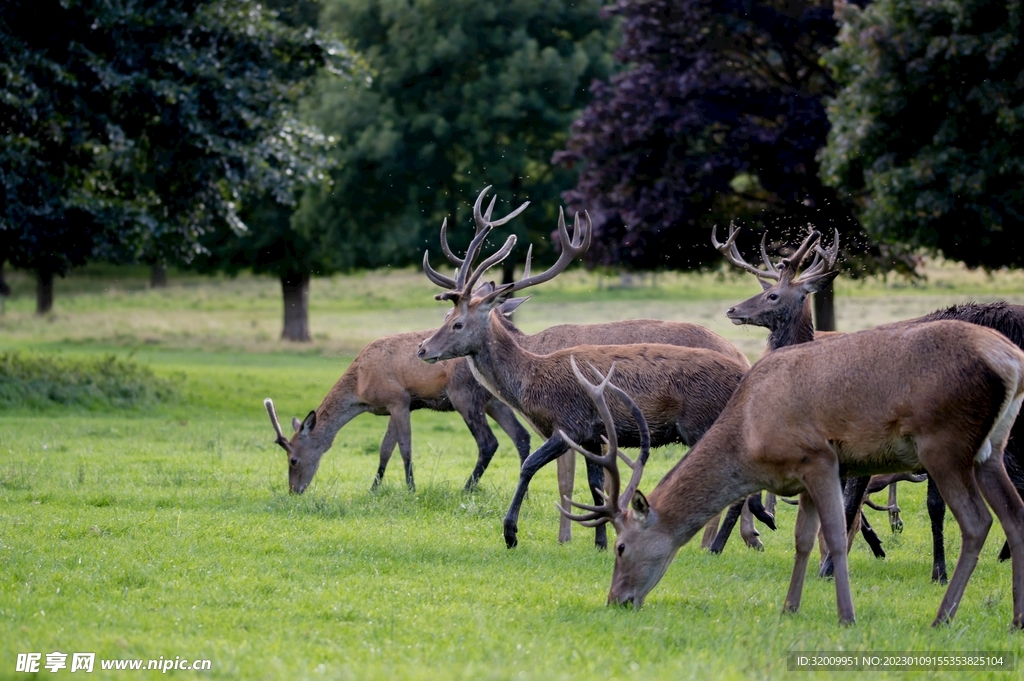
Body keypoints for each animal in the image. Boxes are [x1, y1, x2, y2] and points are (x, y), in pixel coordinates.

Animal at [417, 187, 751, 550]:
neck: (530, 380)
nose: (423, 349)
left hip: (701, 422)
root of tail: (743, 364)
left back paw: (716, 545)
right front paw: (601, 542)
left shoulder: (570, 424)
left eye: (458, 324)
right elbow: (596, 486)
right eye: (445, 317)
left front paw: (512, 532)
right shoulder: (593, 436)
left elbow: (533, 467)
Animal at [559, 320, 1024, 627]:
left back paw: (942, 616)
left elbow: (835, 536)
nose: (616, 600)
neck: (750, 437)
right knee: (1014, 515)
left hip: (945, 442)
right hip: (991, 449)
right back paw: (1015, 619)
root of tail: (1011, 359)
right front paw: (790, 607)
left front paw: (846, 616)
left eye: (621, 547)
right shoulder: (799, 478)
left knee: (978, 522)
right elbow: (802, 539)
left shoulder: (818, 457)